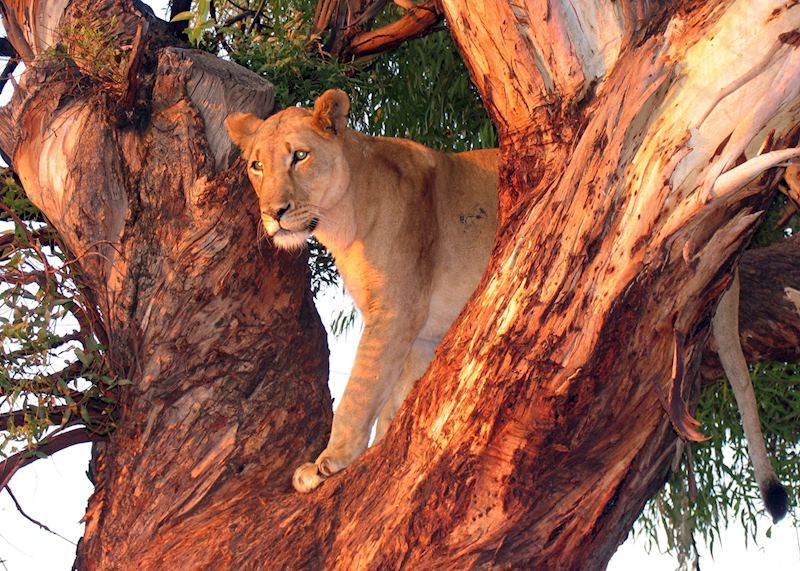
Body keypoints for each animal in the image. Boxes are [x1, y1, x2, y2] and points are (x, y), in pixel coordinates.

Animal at [226, 90, 787, 522]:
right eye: (256, 165)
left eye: (299, 156)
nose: (273, 213)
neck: (343, 221)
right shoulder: (419, 332)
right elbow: (395, 400)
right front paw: (380, 451)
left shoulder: (394, 313)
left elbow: (361, 392)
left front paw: (328, 463)